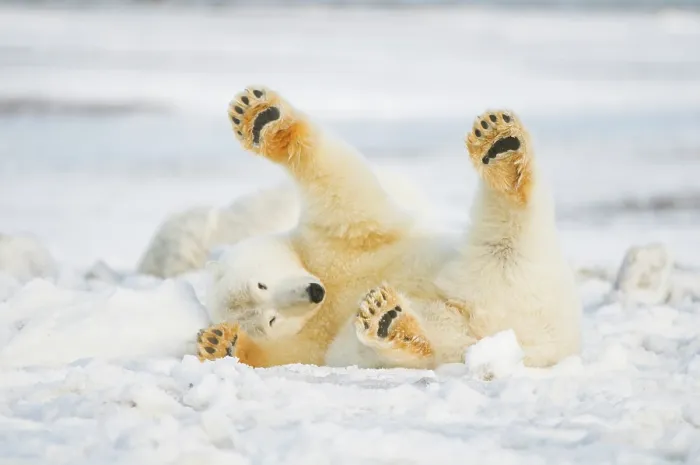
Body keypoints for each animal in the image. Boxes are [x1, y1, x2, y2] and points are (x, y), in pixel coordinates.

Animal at [195, 85, 581, 369]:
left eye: (262, 283)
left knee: (507, 227)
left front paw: (260, 117)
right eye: (270, 319)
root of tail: (531, 343)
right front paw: (220, 342)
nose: (312, 293)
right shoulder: (307, 345)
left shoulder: (339, 240)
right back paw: (388, 320)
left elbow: (340, 186)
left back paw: (501, 149)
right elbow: (274, 354)